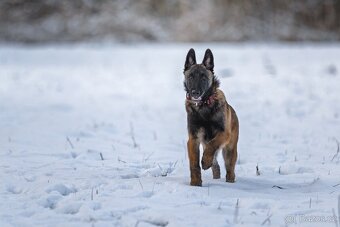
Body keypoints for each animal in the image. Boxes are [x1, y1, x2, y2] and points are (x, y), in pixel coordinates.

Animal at [183, 48, 239, 186]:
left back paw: (230, 180)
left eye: (203, 77)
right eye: (191, 76)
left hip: (230, 150)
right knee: (216, 165)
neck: (203, 107)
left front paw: (205, 161)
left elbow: (213, 144)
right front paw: (195, 183)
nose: (195, 92)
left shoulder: (224, 133)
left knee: (230, 167)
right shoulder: (193, 139)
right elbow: (194, 164)